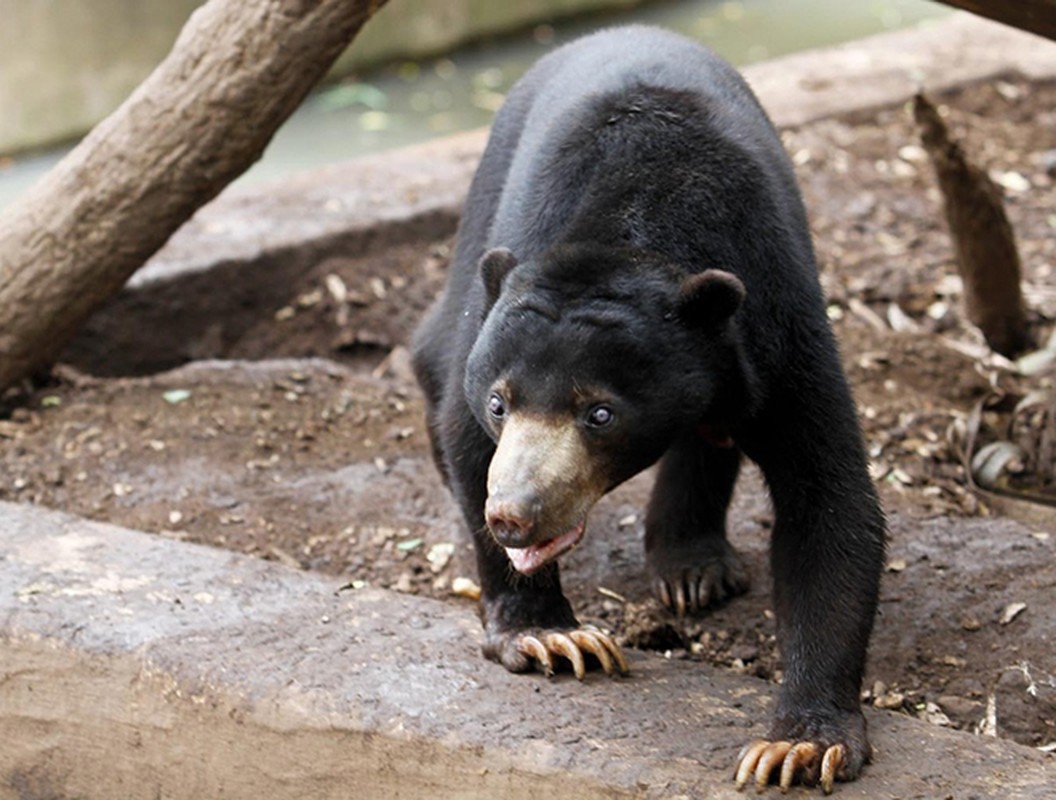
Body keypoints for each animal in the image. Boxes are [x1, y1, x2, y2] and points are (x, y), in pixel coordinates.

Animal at [409, 26, 882, 797]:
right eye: (500, 404)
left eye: (600, 414)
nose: (514, 516)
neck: (636, 226)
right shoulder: (508, 272)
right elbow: (463, 434)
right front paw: (555, 638)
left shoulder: (773, 312)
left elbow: (826, 495)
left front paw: (799, 746)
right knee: (432, 351)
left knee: (710, 440)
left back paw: (692, 569)